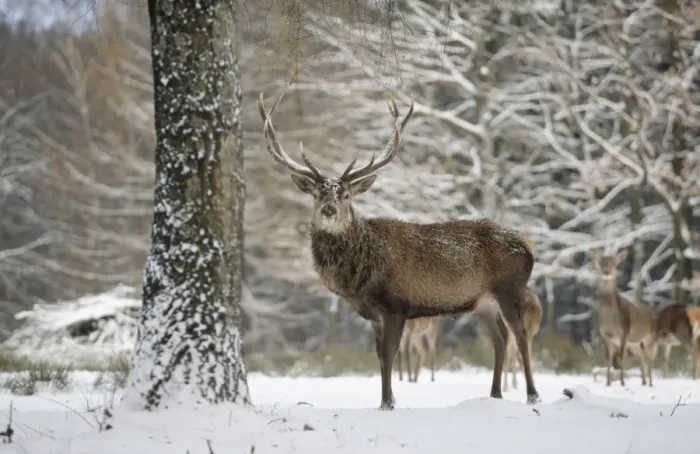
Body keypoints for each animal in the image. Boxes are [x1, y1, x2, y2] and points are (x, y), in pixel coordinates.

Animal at [258, 89, 540, 410]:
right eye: (317, 194)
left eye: (346, 195)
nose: (329, 210)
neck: (361, 276)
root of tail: (529, 249)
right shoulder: (374, 315)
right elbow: (379, 357)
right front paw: (388, 400)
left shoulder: (396, 305)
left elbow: (388, 355)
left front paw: (387, 403)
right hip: (483, 303)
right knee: (500, 338)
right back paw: (494, 394)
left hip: (510, 289)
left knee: (520, 337)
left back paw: (532, 395)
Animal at [588, 249, 656, 387]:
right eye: (601, 263)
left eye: (614, 264)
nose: (606, 272)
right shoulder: (605, 335)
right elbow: (608, 358)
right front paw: (608, 383)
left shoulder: (624, 332)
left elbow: (621, 357)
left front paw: (622, 382)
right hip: (635, 343)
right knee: (642, 357)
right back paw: (643, 382)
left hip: (649, 338)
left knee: (650, 358)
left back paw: (650, 384)